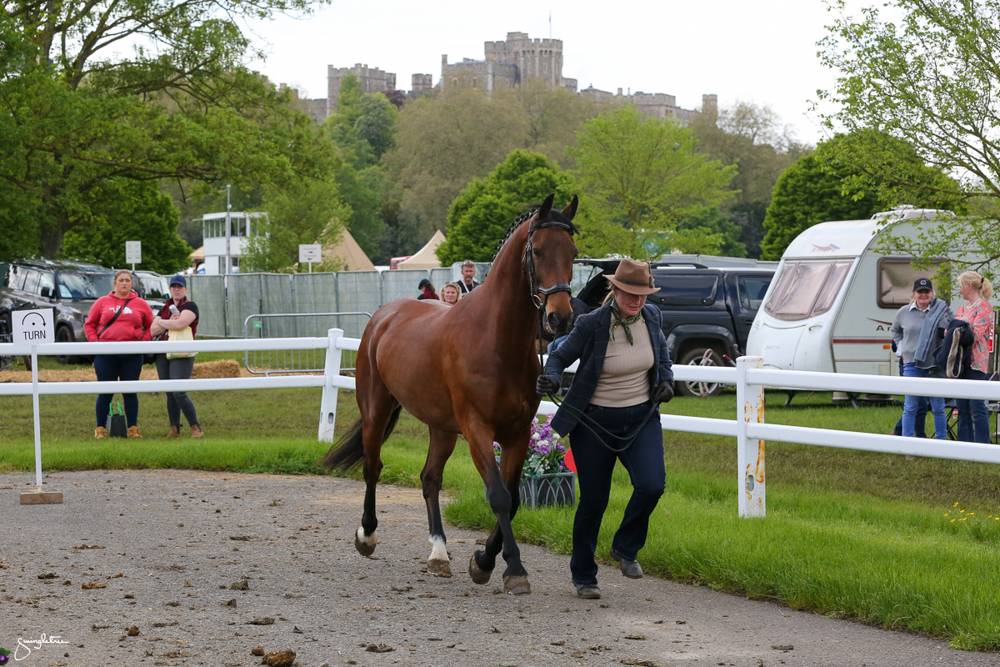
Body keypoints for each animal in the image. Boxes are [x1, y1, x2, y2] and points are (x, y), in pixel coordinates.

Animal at [323, 193, 578, 595]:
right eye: (537, 251)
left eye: (573, 252)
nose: (560, 318)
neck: (496, 339)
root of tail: (384, 316)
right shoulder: (477, 429)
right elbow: (499, 496)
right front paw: (513, 568)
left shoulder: (518, 432)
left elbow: (514, 498)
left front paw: (484, 561)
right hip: (377, 409)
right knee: (372, 466)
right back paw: (367, 536)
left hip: (441, 427)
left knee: (430, 479)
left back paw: (439, 554)